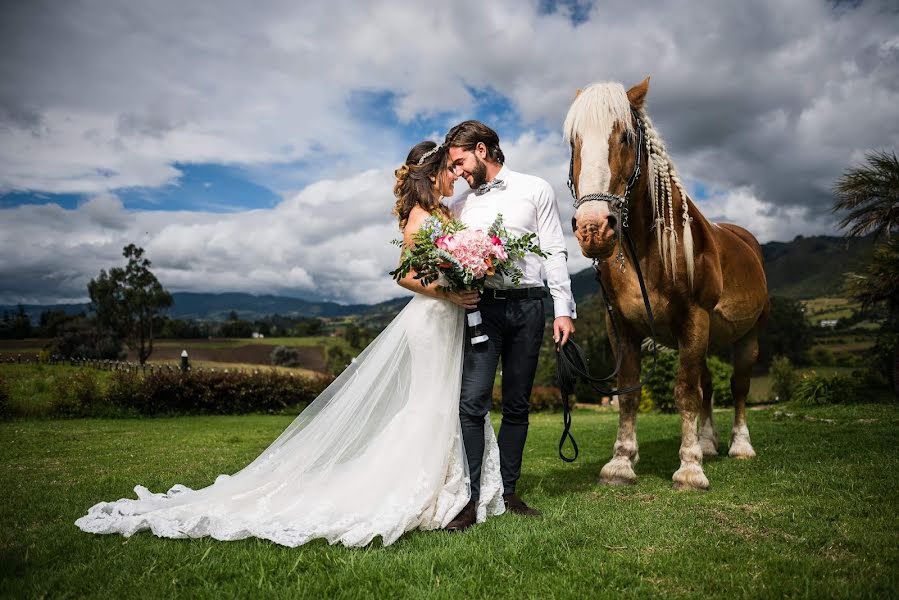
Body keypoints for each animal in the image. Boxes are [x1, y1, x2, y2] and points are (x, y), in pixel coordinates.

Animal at [568, 77, 768, 490]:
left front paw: (690, 469)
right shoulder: (620, 326)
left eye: (626, 137)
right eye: (574, 142)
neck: (647, 251)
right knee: (710, 385)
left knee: (738, 386)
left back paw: (739, 446)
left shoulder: (694, 319)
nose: (593, 228)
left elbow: (686, 392)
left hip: (748, 336)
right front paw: (621, 463)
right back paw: (708, 443)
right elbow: (630, 392)